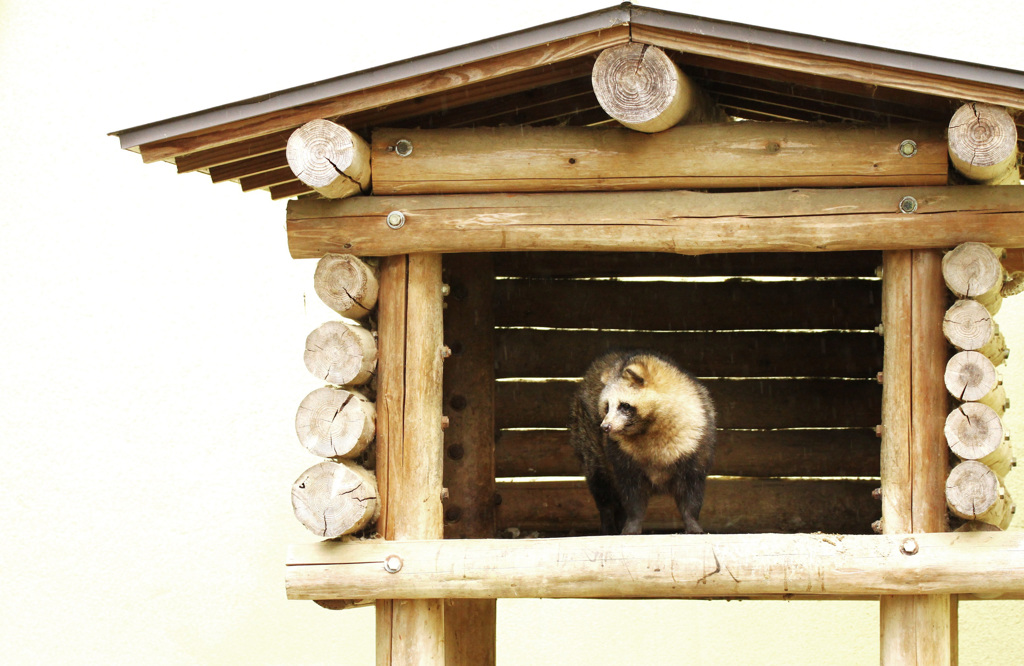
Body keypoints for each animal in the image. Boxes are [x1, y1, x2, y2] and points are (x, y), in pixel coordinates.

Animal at [569, 348, 720, 532]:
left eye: (624, 405)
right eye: (607, 406)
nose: (605, 427)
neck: (647, 429)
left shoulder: (696, 445)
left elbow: (691, 492)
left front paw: (692, 523)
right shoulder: (622, 457)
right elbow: (632, 495)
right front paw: (633, 524)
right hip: (587, 437)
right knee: (601, 484)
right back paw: (608, 524)